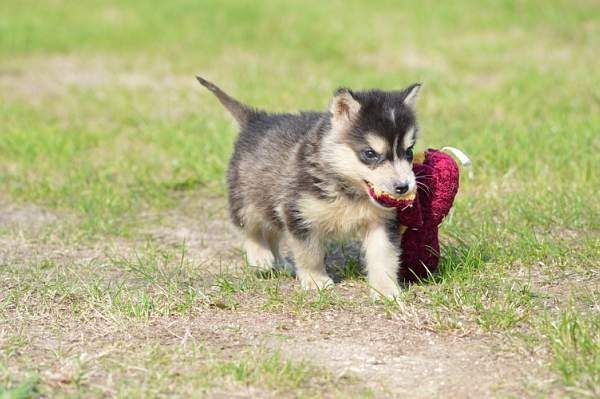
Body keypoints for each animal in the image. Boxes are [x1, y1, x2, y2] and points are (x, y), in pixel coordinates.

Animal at [195, 76, 420, 298]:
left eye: (409, 151)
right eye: (370, 153)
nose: (404, 187)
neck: (346, 189)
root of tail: (257, 119)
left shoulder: (383, 222)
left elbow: (384, 256)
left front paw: (386, 288)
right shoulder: (297, 213)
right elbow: (309, 253)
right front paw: (316, 280)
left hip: (271, 206)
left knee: (272, 233)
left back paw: (279, 262)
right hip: (246, 198)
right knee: (249, 228)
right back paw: (260, 257)